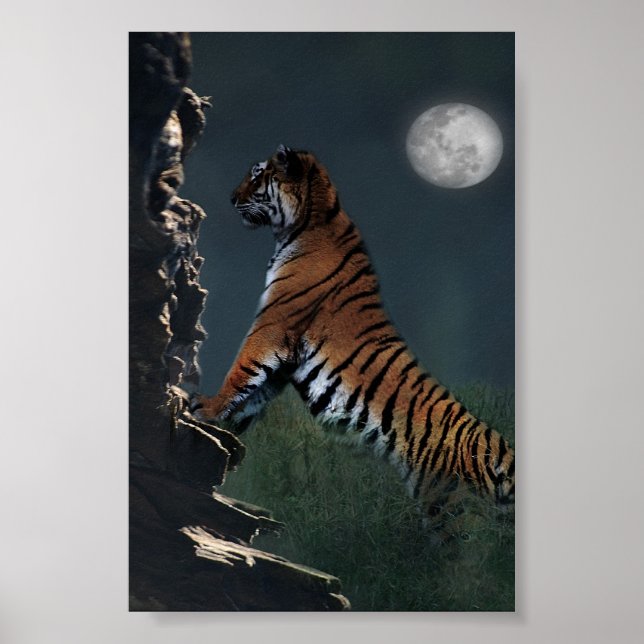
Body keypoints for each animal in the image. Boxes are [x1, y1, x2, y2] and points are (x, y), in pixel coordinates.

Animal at [191, 144, 515, 521]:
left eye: (256, 175)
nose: (231, 198)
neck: (308, 222)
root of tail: (497, 445)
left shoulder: (273, 327)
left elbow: (242, 371)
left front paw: (207, 407)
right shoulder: (286, 357)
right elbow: (254, 393)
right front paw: (227, 426)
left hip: (451, 509)